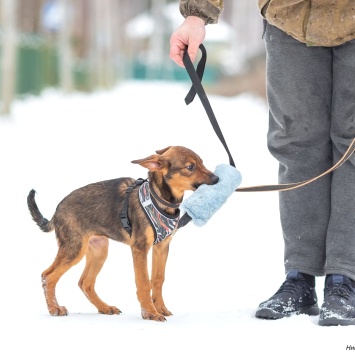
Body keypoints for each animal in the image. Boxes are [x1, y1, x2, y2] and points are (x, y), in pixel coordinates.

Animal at [26, 146, 218, 322]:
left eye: (202, 162)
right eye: (190, 167)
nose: (217, 179)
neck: (159, 199)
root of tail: (57, 210)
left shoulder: (162, 247)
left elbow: (157, 279)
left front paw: (161, 308)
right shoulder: (140, 248)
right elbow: (144, 282)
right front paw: (150, 313)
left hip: (99, 250)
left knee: (85, 283)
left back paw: (105, 308)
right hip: (75, 248)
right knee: (48, 276)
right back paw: (54, 309)